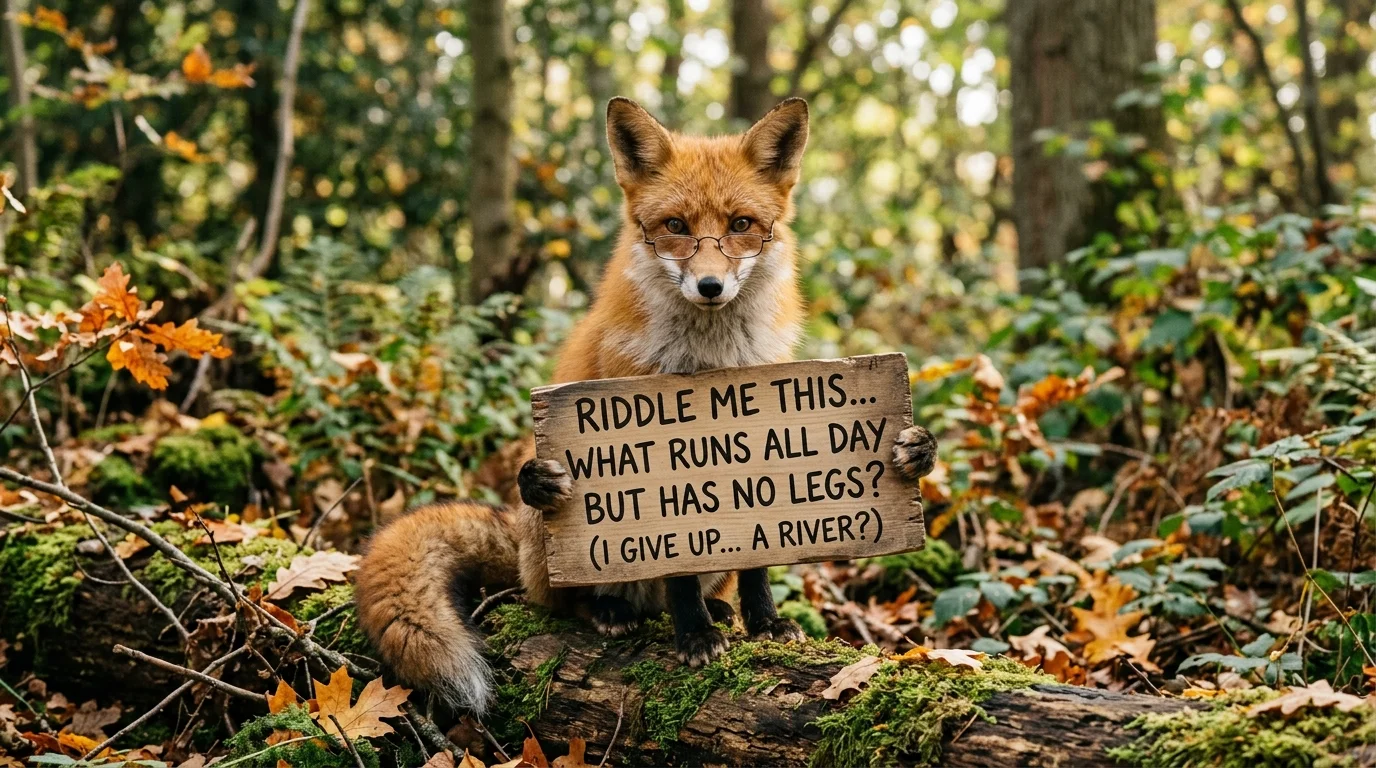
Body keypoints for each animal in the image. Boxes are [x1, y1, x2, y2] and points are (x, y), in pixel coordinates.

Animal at [354, 97, 938, 715]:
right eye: (675, 227)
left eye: (741, 226)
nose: (710, 286)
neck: (710, 361)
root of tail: (519, 541)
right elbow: (677, 566)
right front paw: (696, 638)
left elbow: (758, 559)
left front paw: (765, 624)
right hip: (552, 538)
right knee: (566, 599)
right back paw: (610, 609)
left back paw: (721, 611)